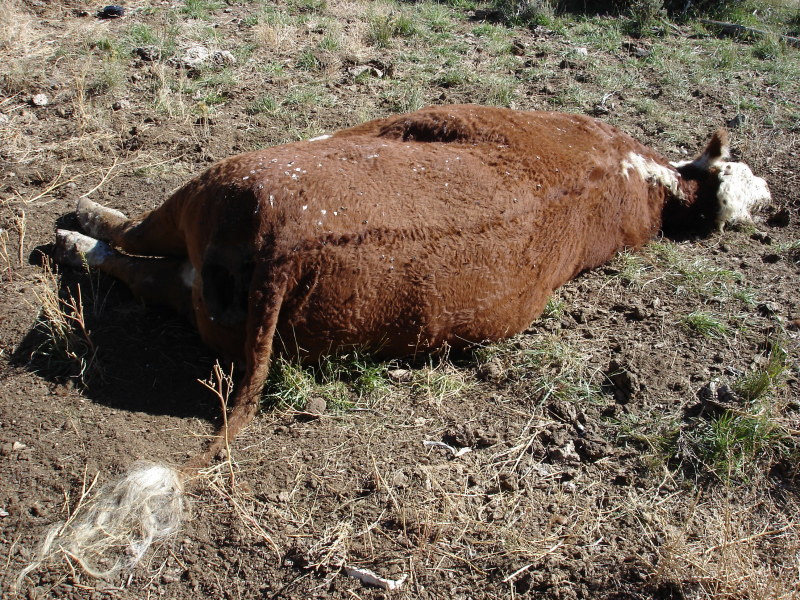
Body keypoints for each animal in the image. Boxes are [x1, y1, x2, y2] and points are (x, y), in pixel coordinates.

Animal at [47, 104, 770, 576]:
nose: (776, 204)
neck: (640, 179)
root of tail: (287, 248)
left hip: (213, 190)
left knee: (132, 244)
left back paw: (78, 228)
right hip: (212, 298)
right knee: (150, 274)